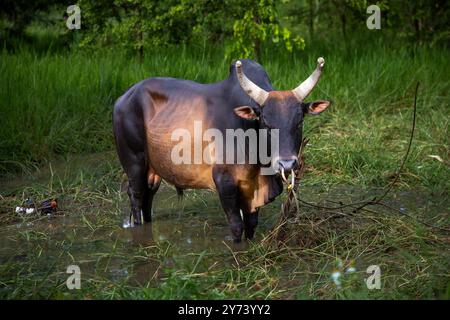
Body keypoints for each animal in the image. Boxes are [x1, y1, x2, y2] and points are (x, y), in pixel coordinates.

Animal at [112, 58, 330, 242]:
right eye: (266, 123)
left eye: (299, 121)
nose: (287, 163)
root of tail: (123, 98)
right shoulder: (224, 183)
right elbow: (236, 226)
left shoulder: (251, 190)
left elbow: (251, 225)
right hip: (134, 163)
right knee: (136, 195)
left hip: (154, 171)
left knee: (148, 197)